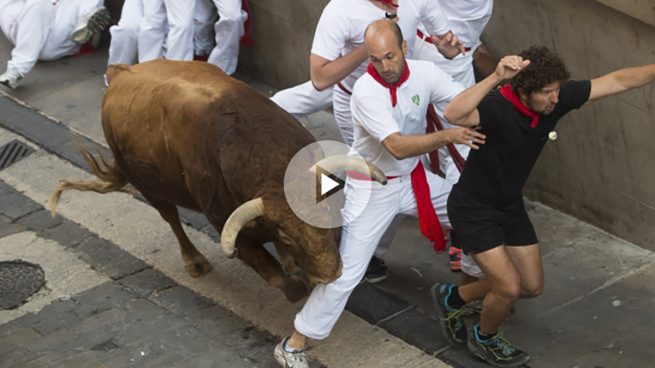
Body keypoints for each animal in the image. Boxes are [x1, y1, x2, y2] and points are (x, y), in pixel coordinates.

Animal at [48, 59, 386, 302]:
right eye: (287, 234)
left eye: (327, 214)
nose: (330, 273)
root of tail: (120, 72)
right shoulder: (229, 228)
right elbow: (277, 277)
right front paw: (295, 283)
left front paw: (292, 263)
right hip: (149, 187)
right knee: (171, 218)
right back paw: (194, 262)